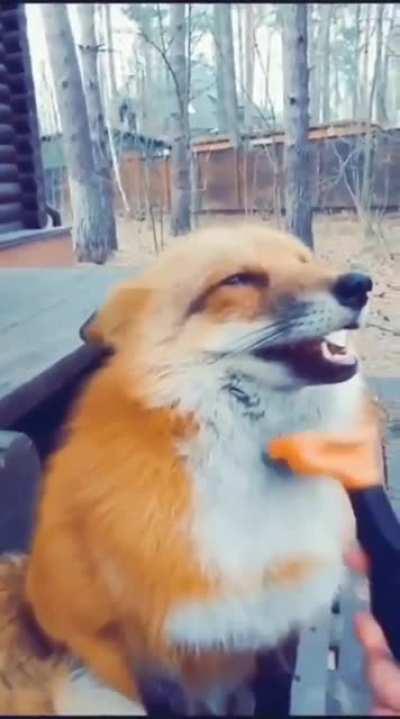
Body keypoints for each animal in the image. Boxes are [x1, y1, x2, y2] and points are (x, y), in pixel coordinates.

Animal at [0, 224, 381, 715]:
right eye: (238, 280)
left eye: (303, 261)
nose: (360, 284)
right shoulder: (150, 648)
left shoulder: (276, 623)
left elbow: (275, 687)